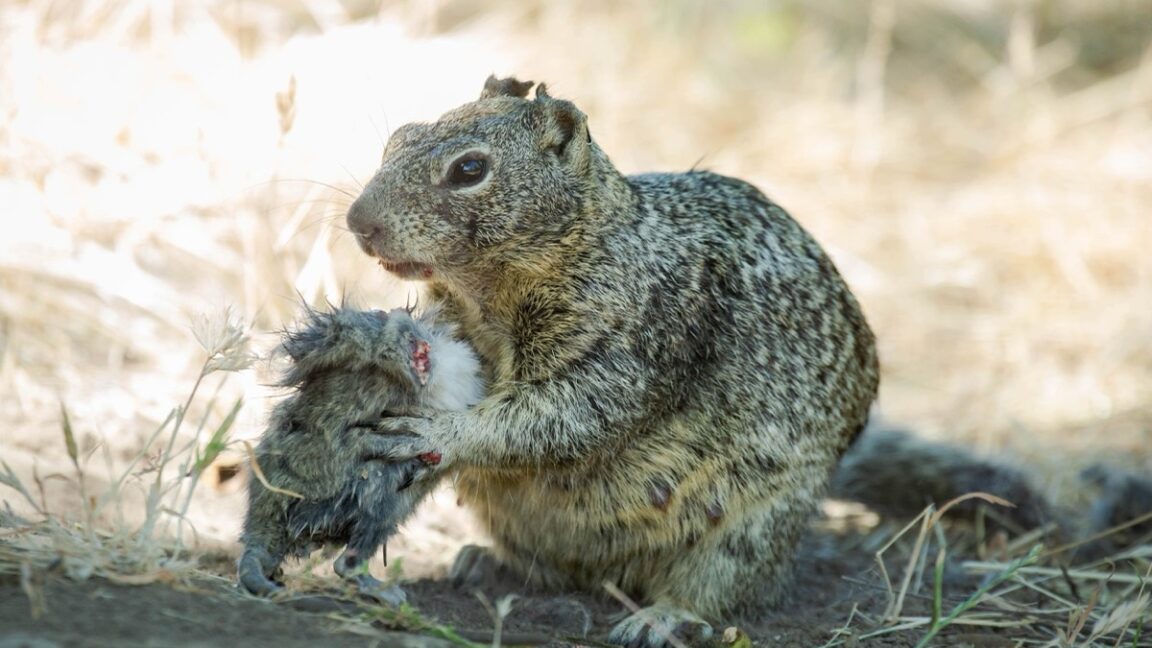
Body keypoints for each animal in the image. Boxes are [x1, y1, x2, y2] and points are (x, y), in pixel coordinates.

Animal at [345, 75, 875, 641]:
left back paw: (660, 618)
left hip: (751, 529)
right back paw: (487, 564)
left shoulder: (631, 351)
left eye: (469, 169)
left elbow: (556, 418)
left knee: (716, 591)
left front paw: (438, 433)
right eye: (397, 138)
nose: (358, 221)